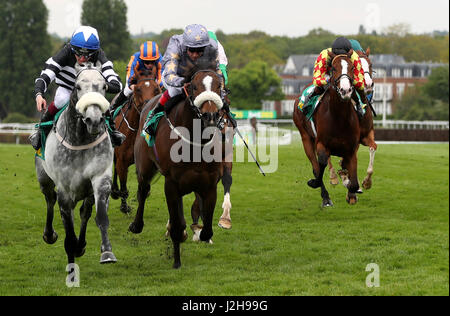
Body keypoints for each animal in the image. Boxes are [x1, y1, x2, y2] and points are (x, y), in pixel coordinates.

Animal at [35, 62, 116, 270]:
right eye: (78, 86)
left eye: (104, 86)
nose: (94, 120)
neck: (80, 139)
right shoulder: (65, 192)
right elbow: (69, 237)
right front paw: (72, 269)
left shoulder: (100, 178)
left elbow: (101, 217)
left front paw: (107, 252)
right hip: (43, 179)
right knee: (50, 199)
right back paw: (49, 235)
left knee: (85, 212)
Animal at [111, 67, 162, 214]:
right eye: (138, 89)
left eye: (156, 89)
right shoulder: (122, 161)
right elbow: (123, 187)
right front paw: (124, 206)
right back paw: (114, 191)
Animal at [130, 62, 229, 270]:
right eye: (194, 86)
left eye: (219, 86)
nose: (210, 116)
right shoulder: (171, 184)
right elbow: (176, 226)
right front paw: (176, 261)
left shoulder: (209, 185)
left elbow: (207, 228)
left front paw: (197, 233)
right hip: (144, 167)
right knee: (143, 191)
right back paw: (136, 224)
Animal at [294, 49, 360, 206]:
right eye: (334, 68)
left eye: (352, 67)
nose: (345, 90)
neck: (339, 118)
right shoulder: (322, 144)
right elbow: (321, 164)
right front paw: (315, 183)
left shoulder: (351, 149)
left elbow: (354, 182)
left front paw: (350, 188)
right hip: (306, 138)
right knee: (316, 167)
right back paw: (325, 197)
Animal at [328, 47, 378, 190]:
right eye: (357, 67)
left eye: (370, 64)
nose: (368, 85)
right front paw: (345, 176)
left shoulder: (366, 135)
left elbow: (373, 147)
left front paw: (367, 182)